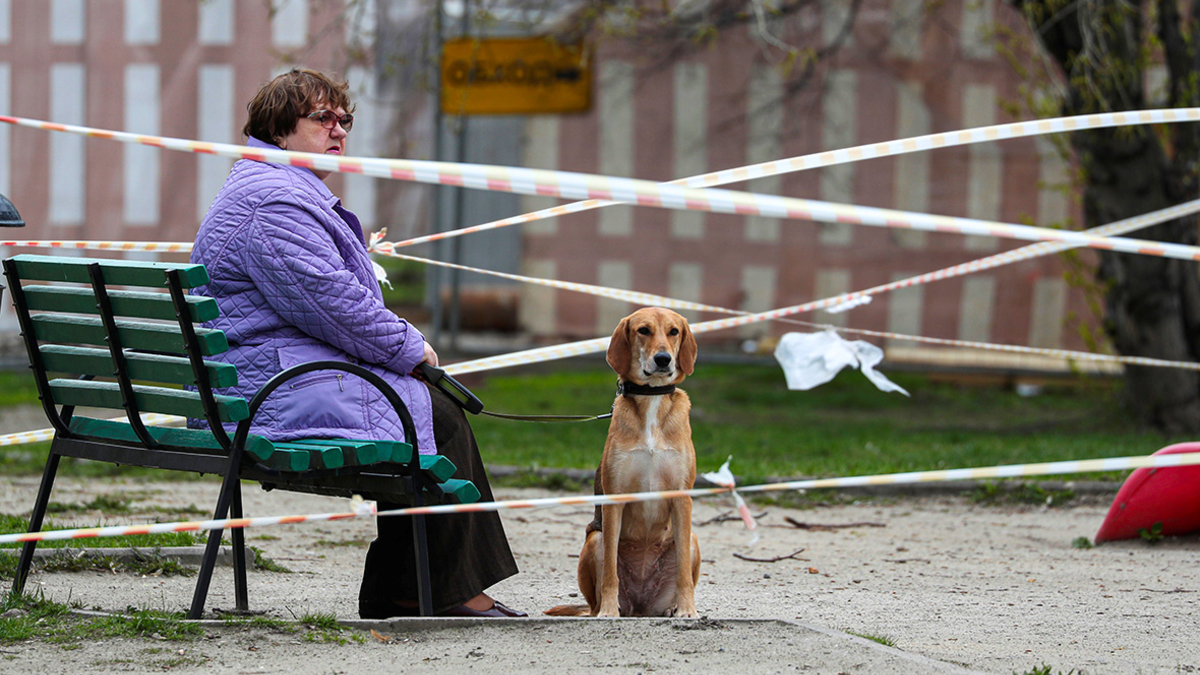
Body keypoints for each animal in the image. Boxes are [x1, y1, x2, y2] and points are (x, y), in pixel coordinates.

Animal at [547, 306, 700, 614]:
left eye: (673, 331)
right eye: (643, 330)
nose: (663, 359)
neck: (651, 398)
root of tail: (640, 608)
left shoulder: (681, 496)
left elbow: (683, 575)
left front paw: (687, 609)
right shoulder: (614, 498)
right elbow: (610, 572)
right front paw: (608, 610)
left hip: (692, 538)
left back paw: (671, 609)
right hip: (595, 539)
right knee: (597, 597)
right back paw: (606, 610)